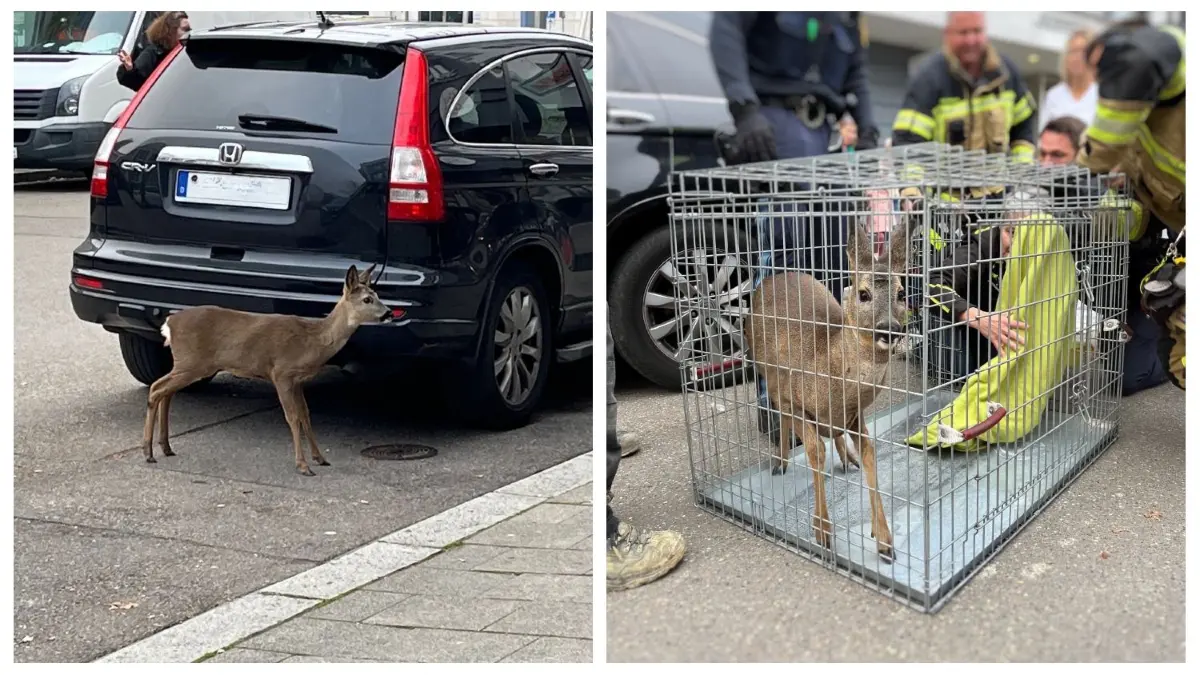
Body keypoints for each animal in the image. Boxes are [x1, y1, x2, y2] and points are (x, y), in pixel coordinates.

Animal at [141, 264, 392, 476]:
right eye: (367, 299)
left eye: (378, 295)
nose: (389, 313)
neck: (312, 341)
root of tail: (170, 323)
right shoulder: (281, 372)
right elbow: (292, 417)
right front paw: (303, 465)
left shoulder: (298, 380)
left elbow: (306, 415)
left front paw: (320, 458)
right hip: (191, 362)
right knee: (156, 388)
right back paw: (148, 452)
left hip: (187, 364)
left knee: (165, 392)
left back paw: (165, 447)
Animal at [745, 217, 914, 562]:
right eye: (863, 294)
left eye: (902, 293)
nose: (889, 329)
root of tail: (775, 277)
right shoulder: (795, 402)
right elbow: (814, 452)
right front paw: (822, 531)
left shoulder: (855, 413)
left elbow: (869, 453)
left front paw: (884, 540)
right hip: (769, 373)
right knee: (781, 414)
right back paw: (779, 462)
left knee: (834, 434)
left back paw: (845, 457)